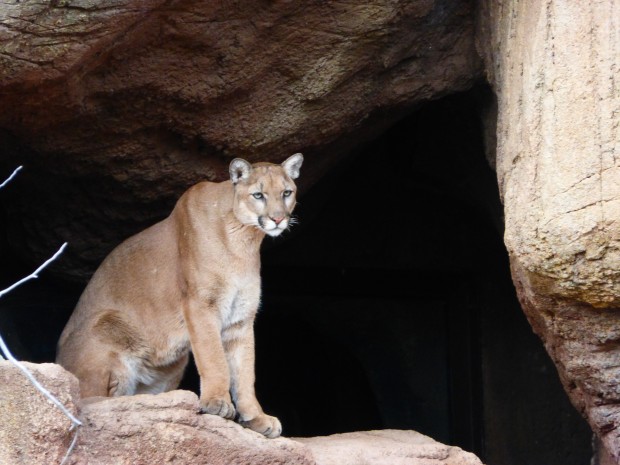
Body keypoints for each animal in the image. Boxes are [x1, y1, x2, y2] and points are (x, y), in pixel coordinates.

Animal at [57, 154, 304, 436]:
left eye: (286, 193)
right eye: (258, 195)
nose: (278, 219)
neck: (244, 240)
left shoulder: (241, 317)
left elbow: (244, 373)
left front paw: (256, 418)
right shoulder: (201, 305)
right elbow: (214, 358)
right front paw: (217, 403)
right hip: (107, 327)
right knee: (94, 400)